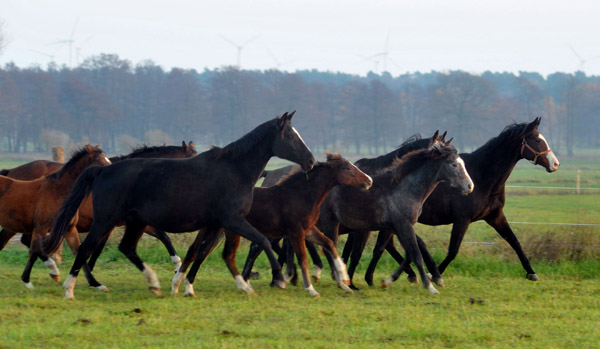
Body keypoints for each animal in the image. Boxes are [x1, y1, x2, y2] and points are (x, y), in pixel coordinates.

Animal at [0, 144, 111, 288]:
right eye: (99, 161)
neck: (58, 191)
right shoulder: (41, 227)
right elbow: (34, 252)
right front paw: (27, 281)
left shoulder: (70, 228)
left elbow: (79, 252)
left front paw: (95, 283)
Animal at [44, 112, 316, 300]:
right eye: (291, 136)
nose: (311, 161)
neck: (233, 171)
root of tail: (103, 169)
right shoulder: (233, 220)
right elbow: (263, 242)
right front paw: (280, 277)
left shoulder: (215, 224)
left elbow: (199, 253)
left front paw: (185, 285)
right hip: (106, 221)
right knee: (86, 249)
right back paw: (71, 289)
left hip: (135, 223)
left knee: (127, 248)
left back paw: (153, 283)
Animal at [171, 152, 372, 296]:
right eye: (348, 169)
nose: (369, 181)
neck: (301, 196)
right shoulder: (296, 231)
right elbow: (303, 258)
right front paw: (311, 289)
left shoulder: (308, 230)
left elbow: (329, 244)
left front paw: (344, 281)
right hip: (224, 230)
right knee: (208, 253)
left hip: (223, 231)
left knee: (211, 254)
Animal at [318, 135, 474, 292]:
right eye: (454, 164)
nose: (469, 186)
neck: (403, 189)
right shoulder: (401, 226)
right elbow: (416, 254)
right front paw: (430, 286)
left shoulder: (395, 228)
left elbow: (405, 253)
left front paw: (387, 281)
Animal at [360, 117, 564, 286]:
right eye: (536, 140)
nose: (555, 164)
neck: (482, 177)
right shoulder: (461, 220)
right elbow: (452, 251)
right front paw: (435, 274)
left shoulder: (495, 216)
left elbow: (514, 241)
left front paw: (531, 272)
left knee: (389, 244)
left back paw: (407, 274)